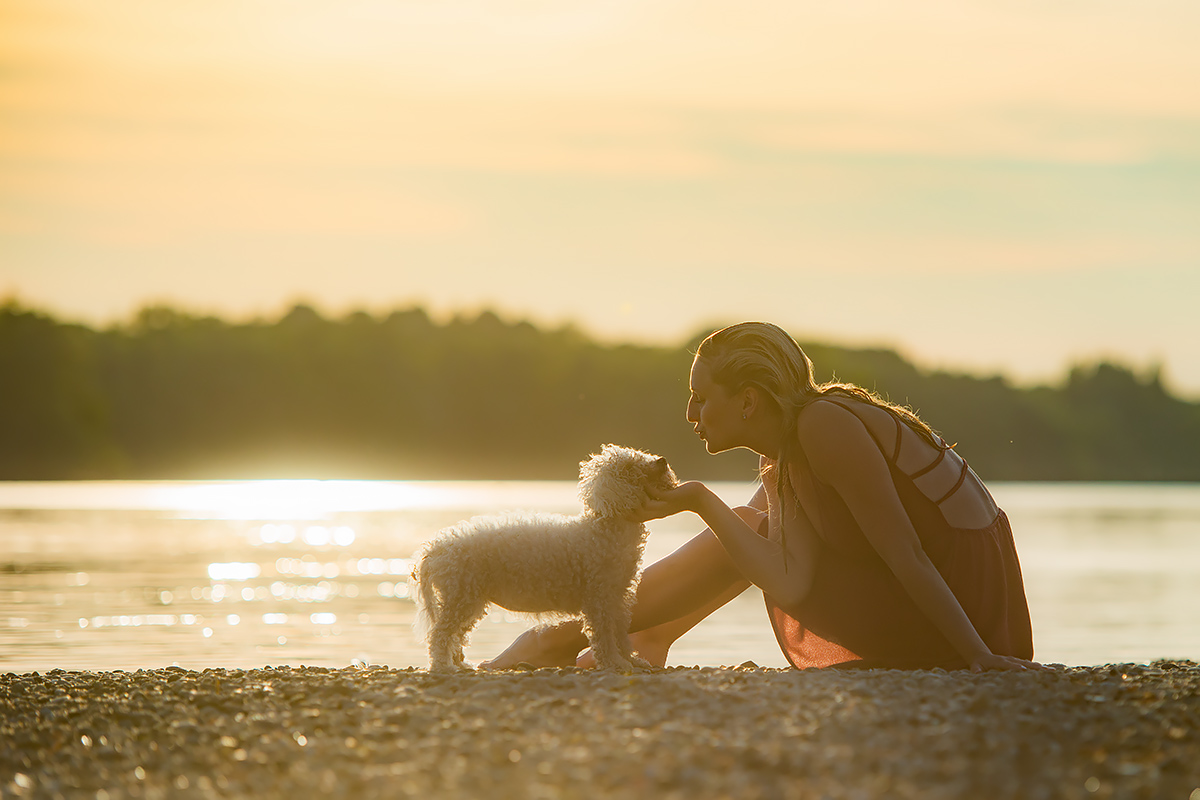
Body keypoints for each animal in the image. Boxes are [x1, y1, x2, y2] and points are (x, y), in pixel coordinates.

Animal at [412, 448, 676, 671]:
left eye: (638, 453)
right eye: (629, 467)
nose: (662, 461)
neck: (606, 528)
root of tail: (435, 550)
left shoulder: (618, 598)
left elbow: (621, 634)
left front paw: (633, 660)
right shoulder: (599, 599)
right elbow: (603, 636)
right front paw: (614, 663)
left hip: (469, 598)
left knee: (456, 635)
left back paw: (461, 664)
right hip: (461, 596)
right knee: (440, 634)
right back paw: (442, 666)